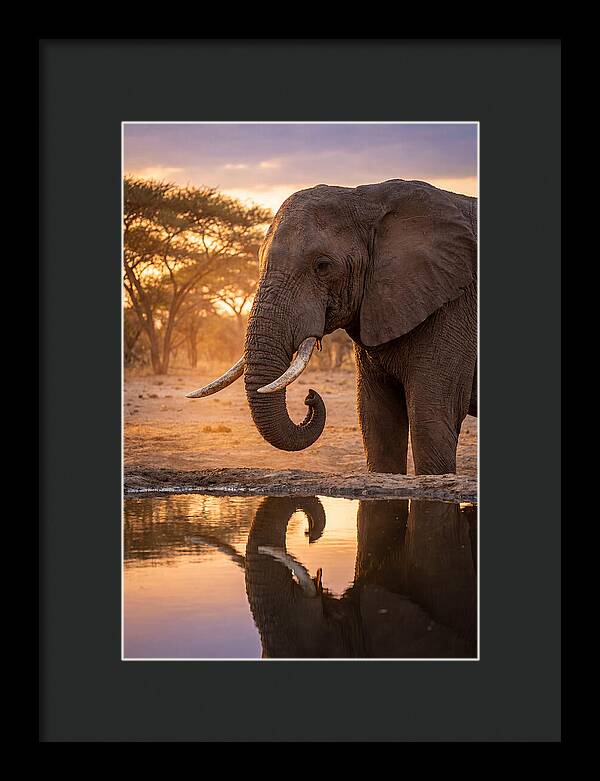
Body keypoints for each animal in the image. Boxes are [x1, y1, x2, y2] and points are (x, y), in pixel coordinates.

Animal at [187, 178, 477, 475]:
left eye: (323, 266)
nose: (310, 397)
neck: (369, 198)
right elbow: (376, 419)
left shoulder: (453, 306)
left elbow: (431, 419)